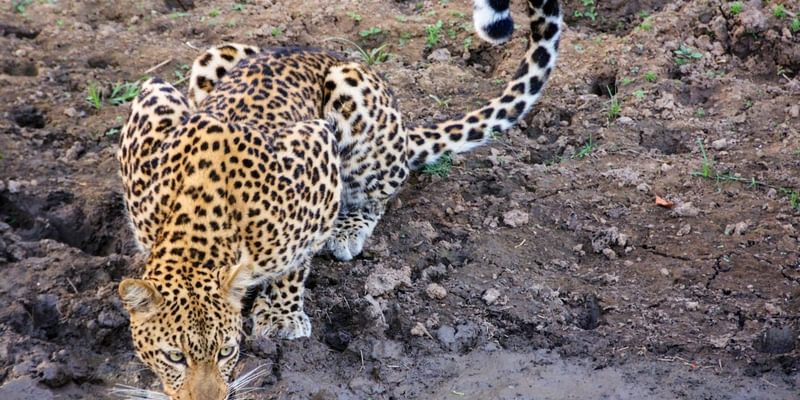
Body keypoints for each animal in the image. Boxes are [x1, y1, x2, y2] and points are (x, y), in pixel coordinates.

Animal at [116, 0, 562, 399]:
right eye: (174, 357)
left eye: (227, 352)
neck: (195, 222)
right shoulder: (152, 101)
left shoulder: (315, 146)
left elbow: (296, 259)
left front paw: (281, 315)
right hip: (214, 56)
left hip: (355, 103)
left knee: (379, 195)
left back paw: (348, 229)